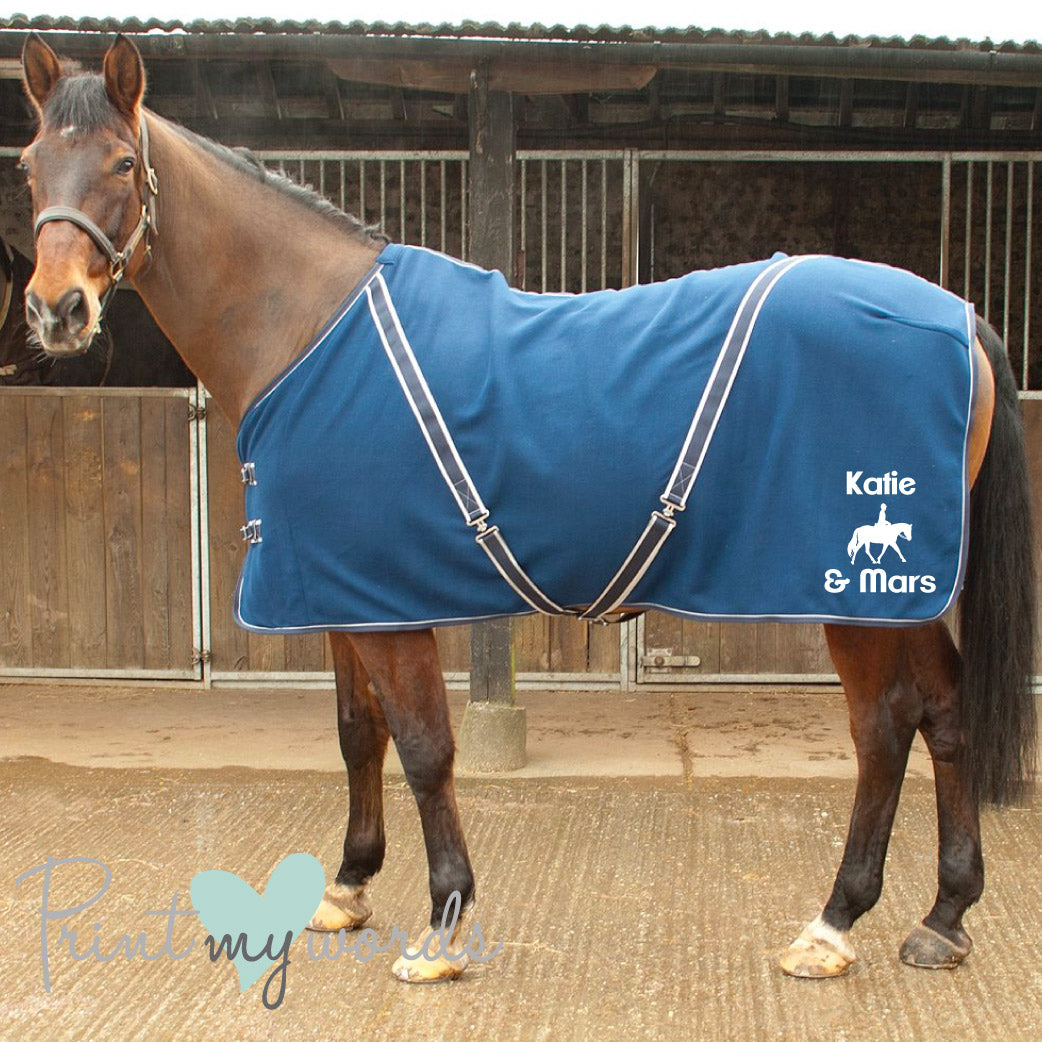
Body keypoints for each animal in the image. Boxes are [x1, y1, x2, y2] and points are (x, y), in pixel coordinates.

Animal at [17, 34, 1036, 982]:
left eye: (120, 163)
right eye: (28, 164)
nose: (56, 311)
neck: (308, 331)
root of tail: (958, 317)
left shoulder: (390, 613)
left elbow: (425, 748)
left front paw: (441, 929)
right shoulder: (341, 593)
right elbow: (356, 736)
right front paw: (348, 888)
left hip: (856, 595)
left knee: (883, 730)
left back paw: (833, 924)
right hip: (896, 595)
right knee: (944, 715)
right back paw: (942, 917)